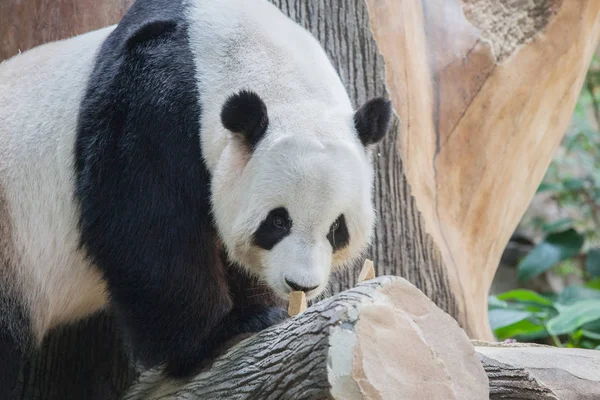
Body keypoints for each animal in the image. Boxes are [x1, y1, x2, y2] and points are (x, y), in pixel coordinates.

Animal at [0, 0, 392, 396]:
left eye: (337, 229)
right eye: (278, 221)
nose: (301, 284)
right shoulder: (148, 107)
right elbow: (145, 232)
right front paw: (224, 331)